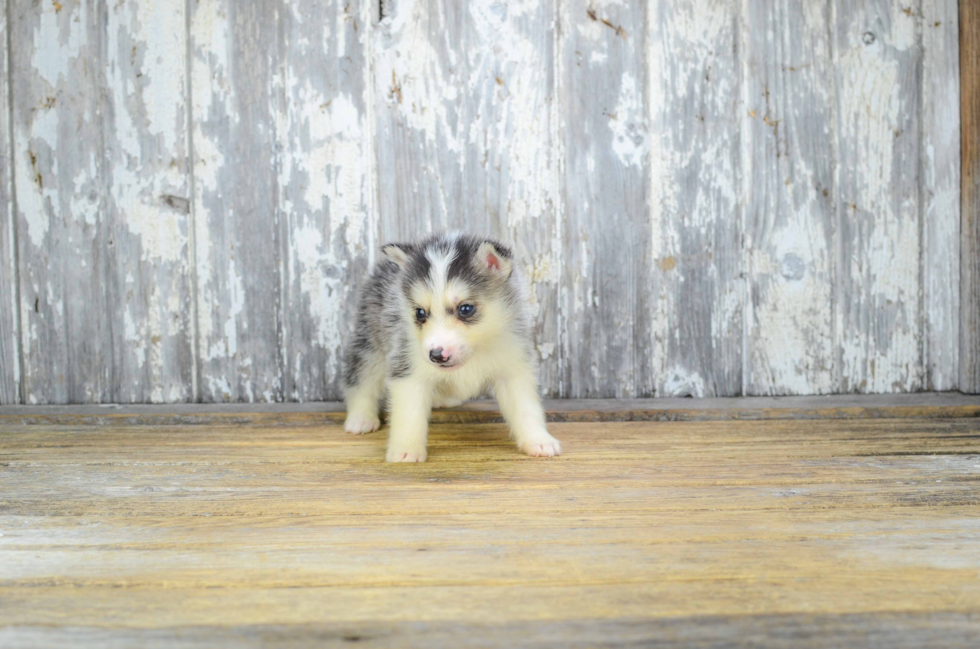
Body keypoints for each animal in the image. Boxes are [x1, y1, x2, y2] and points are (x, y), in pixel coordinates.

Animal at [344, 233, 564, 460]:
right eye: (420, 313)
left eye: (465, 309)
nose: (436, 355)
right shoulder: (407, 367)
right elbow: (409, 414)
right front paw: (406, 450)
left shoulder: (513, 366)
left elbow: (525, 408)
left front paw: (539, 440)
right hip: (370, 343)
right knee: (362, 381)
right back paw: (360, 418)